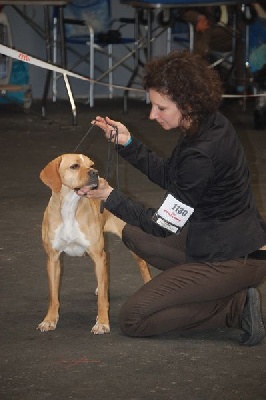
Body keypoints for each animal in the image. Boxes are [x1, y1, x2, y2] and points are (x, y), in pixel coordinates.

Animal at [37, 153, 152, 334]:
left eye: (91, 165)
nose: (95, 173)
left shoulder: (98, 256)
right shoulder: (53, 258)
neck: (70, 207)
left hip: (131, 243)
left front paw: (103, 322)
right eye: (74, 166)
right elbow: (53, 296)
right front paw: (49, 320)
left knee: (142, 266)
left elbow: (103, 300)